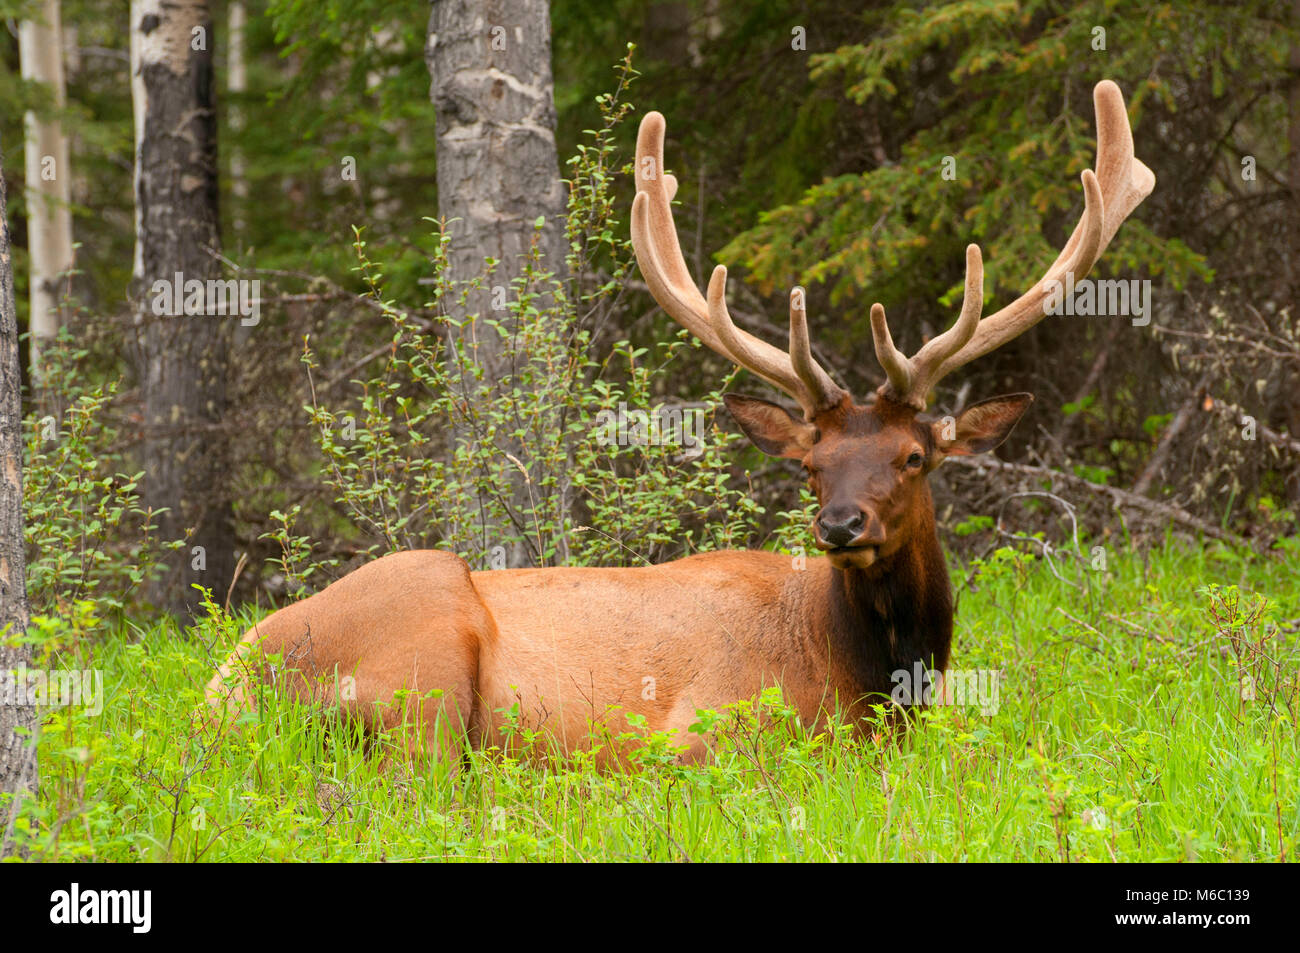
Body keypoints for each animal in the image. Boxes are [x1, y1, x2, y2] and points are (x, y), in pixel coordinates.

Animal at [206, 80, 1154, 764]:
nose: (841, 523)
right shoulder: (704, 724)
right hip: (424, 650)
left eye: (916, 455)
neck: (867, 677)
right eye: (809, 463)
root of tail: (226, 688)